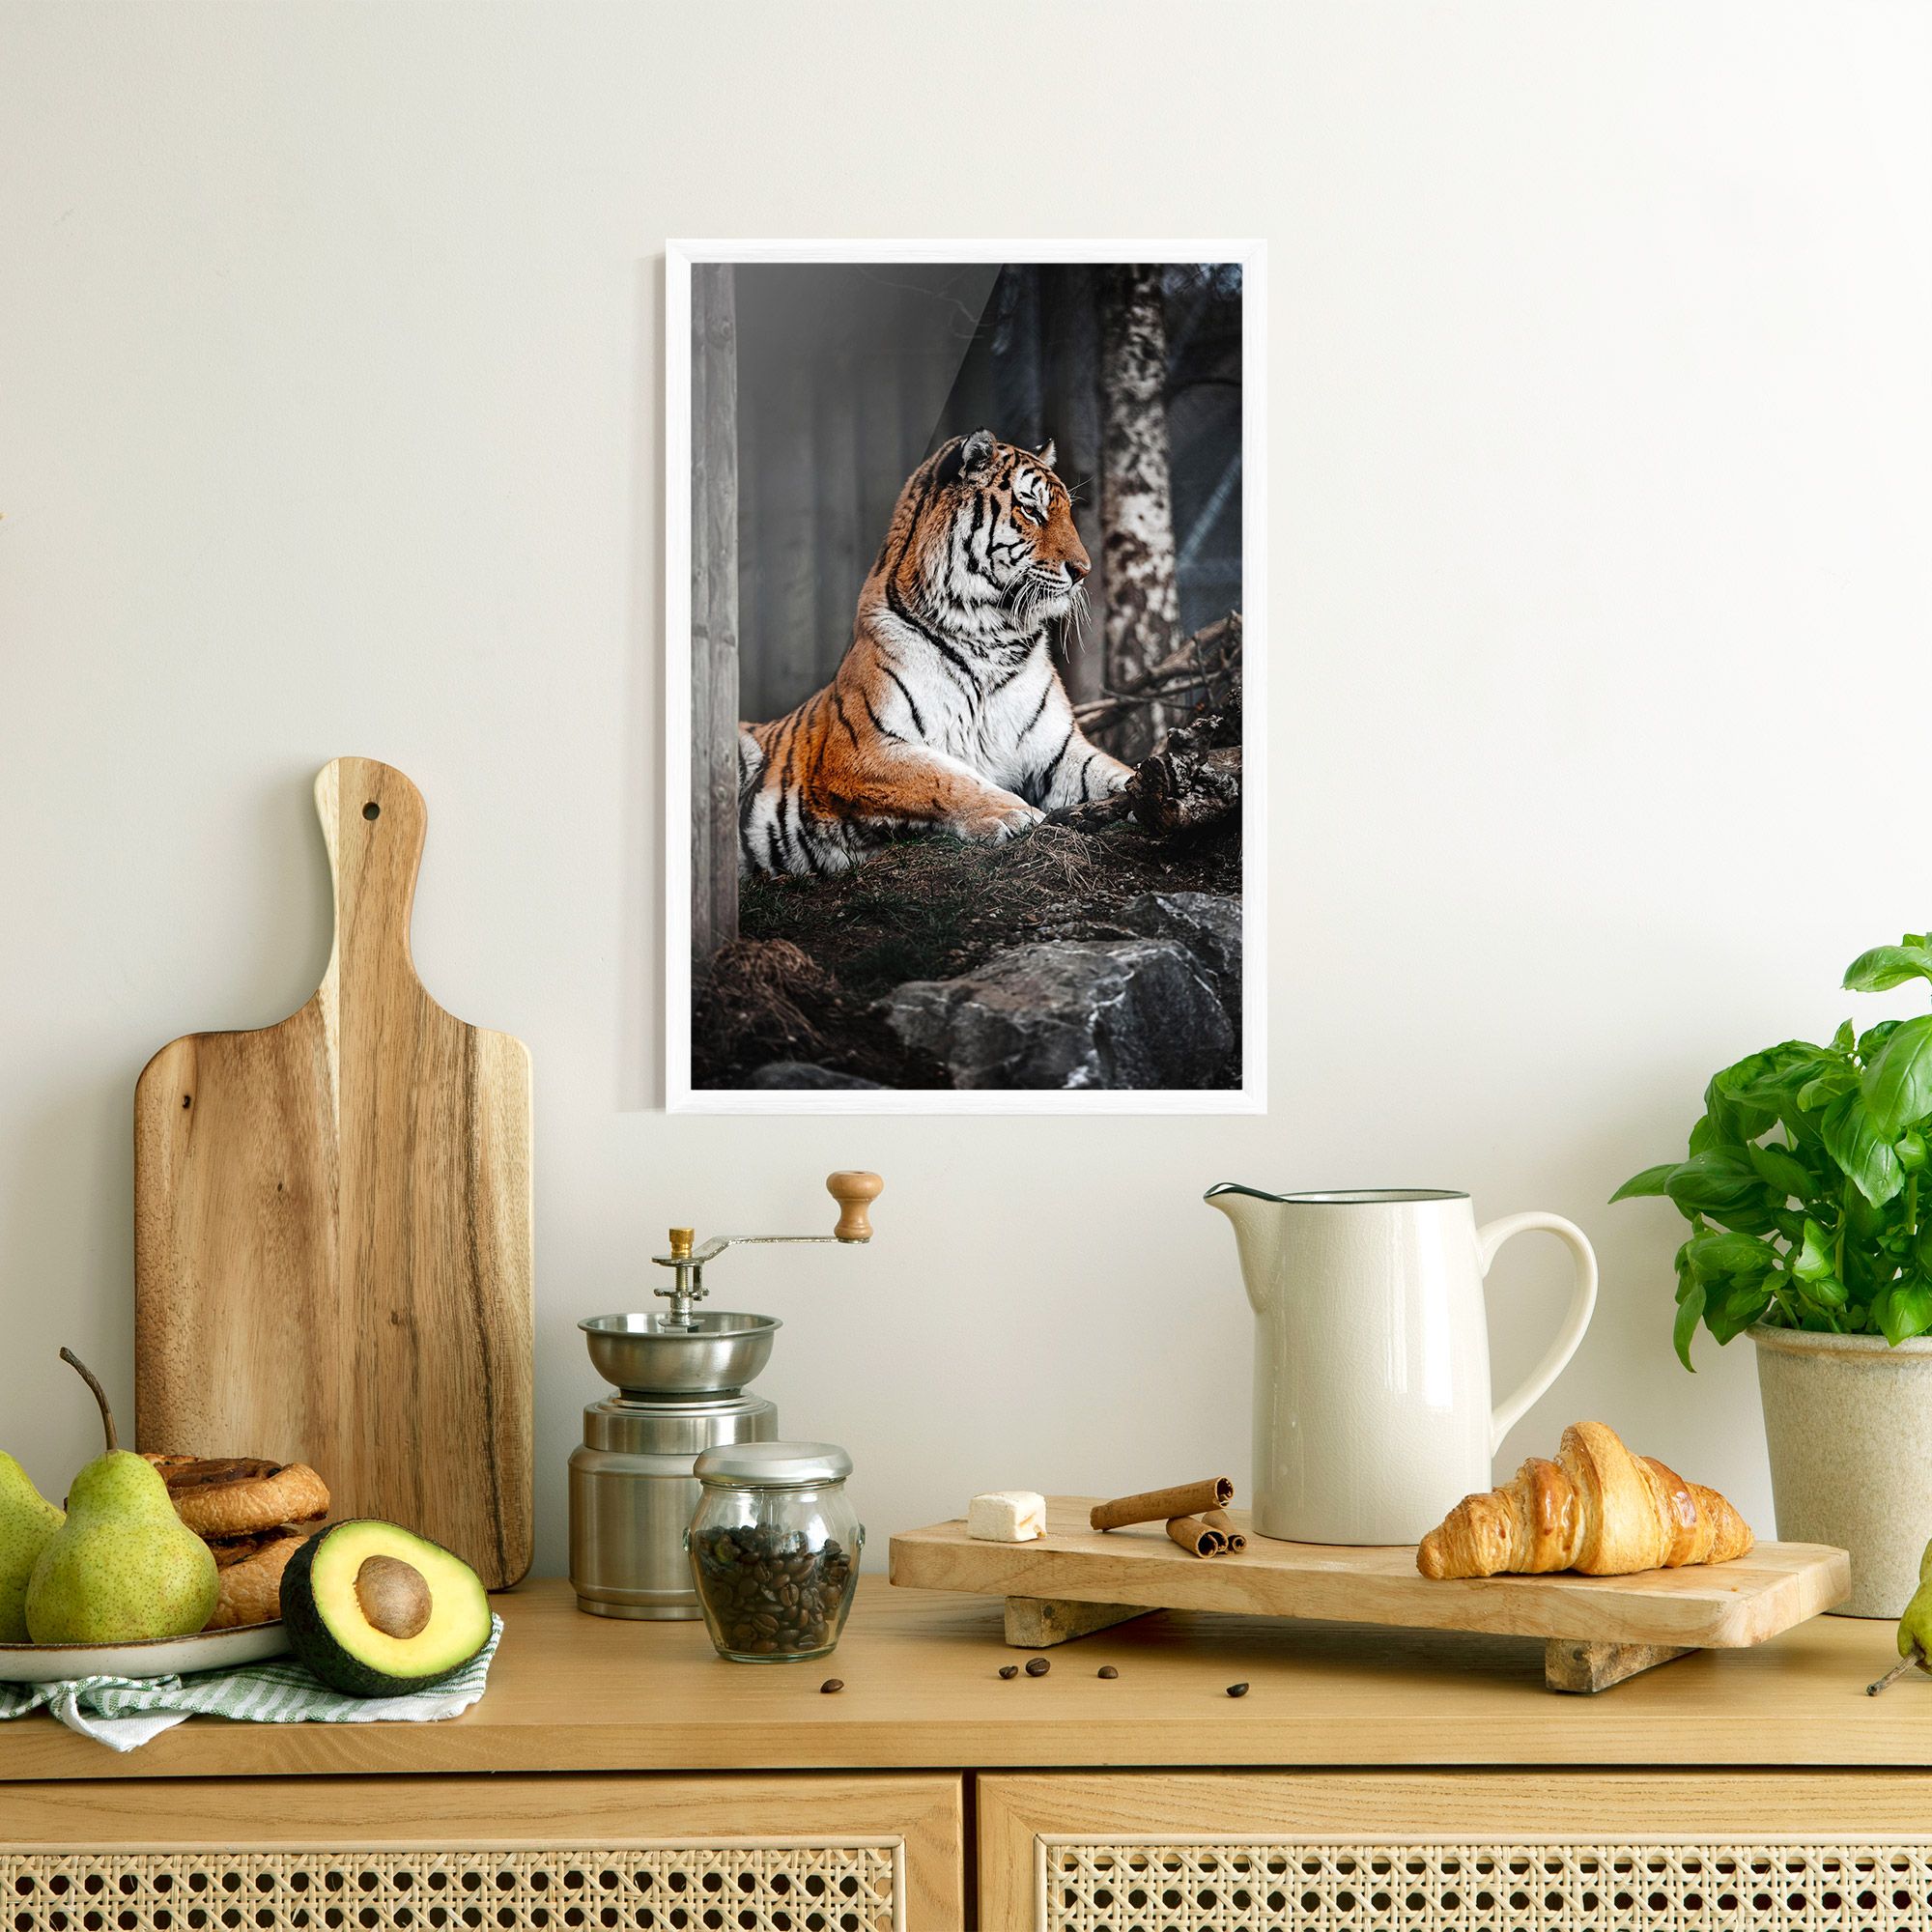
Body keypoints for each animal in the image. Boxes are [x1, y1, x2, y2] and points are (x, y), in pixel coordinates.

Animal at [737, 427, 1136, 878]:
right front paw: (1012, 813)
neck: (991, 635)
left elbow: (1113, 771)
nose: (1083, 571)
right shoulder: (860, 750)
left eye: (1067, 511)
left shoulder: (1057, 751)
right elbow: (944, 777)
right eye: (1031, 510)